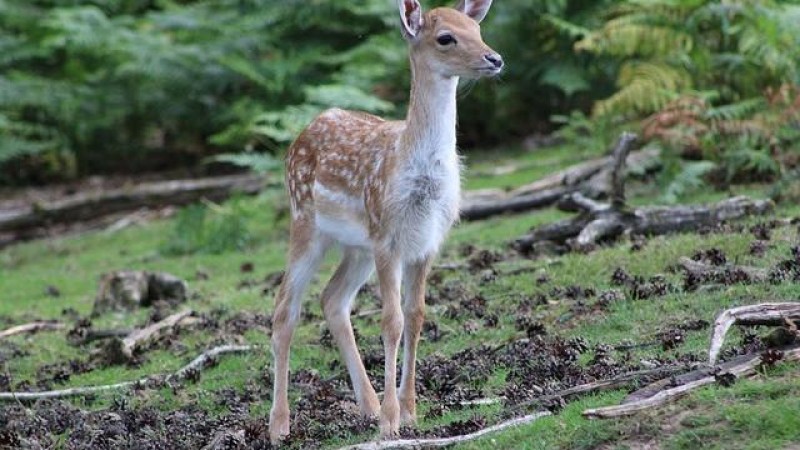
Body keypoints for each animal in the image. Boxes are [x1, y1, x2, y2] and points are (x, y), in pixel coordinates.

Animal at [272, 0, 504, 442]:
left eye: (478, 30)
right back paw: (280, 426)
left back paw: (367, 405)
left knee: (332, 299)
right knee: (284, 309)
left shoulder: (427, 242)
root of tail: (302, 133)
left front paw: (410, 411)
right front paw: (391, 421)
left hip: (356, 247)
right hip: (305, 222)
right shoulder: (388, 239)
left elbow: (416, 317)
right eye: (446, 37)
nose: (495, 58)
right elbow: (391, 320)